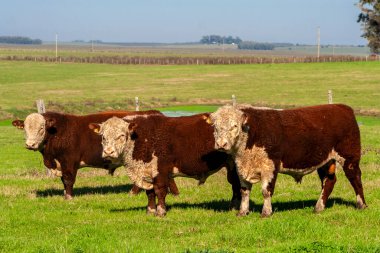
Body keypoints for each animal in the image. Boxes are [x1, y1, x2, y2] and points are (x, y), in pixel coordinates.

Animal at [11, 110, 178, 200]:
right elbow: (63, 181)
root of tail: (155, 113)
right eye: (25, 128)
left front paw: (69, 197)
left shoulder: (69, 162)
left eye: (41, 128)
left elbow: (68, 180)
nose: (30, 144)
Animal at [90, 113, 240, 216]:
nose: (108, 152)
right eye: (103, 136)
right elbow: (150, 193)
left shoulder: (161, 171)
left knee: (236, 185)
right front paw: (150, 210)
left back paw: (234, 207)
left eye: (121, 135)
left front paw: (161, 211)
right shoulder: (147, 172)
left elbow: (160, 191)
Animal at [208, 104, 368, 216]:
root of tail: (342, 107)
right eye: (215, 127)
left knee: (355, 179)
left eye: (234, 126)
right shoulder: (242, 168)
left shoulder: (270, 166)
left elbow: (266, 191)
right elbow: (244, 191)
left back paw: (362, 205)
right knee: (329, 181)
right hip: (326, 161)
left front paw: (266, 212)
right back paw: (318, 208)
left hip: (350, 157)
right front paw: (242, 212)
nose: (221, 144)